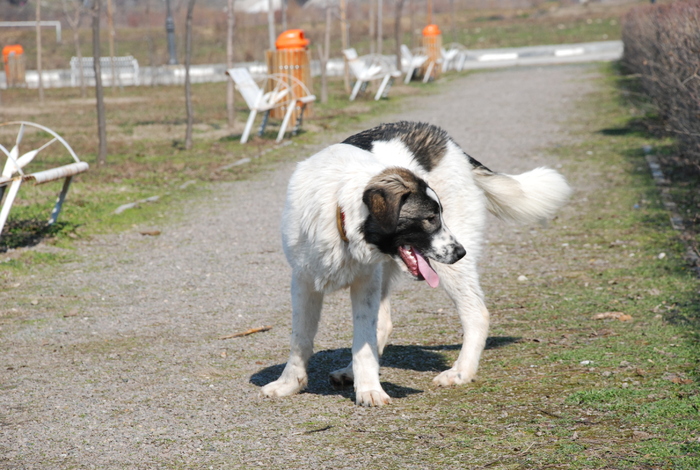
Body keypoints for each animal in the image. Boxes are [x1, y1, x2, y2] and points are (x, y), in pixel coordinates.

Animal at [260, 122, 572, 408]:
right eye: (430, 218)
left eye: (439, 215)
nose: (461, 251)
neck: (340, 216)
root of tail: (444, 138)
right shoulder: (304, 279)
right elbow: (301, 338)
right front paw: (290, 383)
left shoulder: (365, 282)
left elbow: (362, 340)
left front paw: (369, 389)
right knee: (383, 324)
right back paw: (351, 372)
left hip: (449, 269)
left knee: (476, 314)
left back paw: (460, 372)